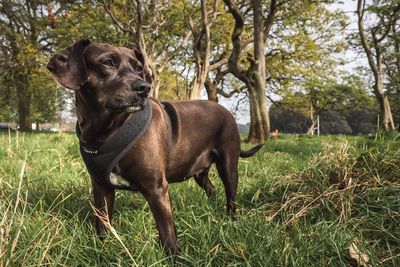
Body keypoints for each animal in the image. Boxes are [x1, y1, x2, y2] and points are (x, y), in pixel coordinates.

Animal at [47, 39, 264, 255]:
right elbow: (103, 224)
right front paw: (103, 249)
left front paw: (174, 257)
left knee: (230, 197)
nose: (144, 87)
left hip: (228, 166)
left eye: (138, 68)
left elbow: (167, 233)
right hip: (199, 172)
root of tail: (225, 110)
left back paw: (231, 221)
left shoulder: (156, 189)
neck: (107, 132)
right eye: (107, 62)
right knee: (211, 188)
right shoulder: (101, 187)